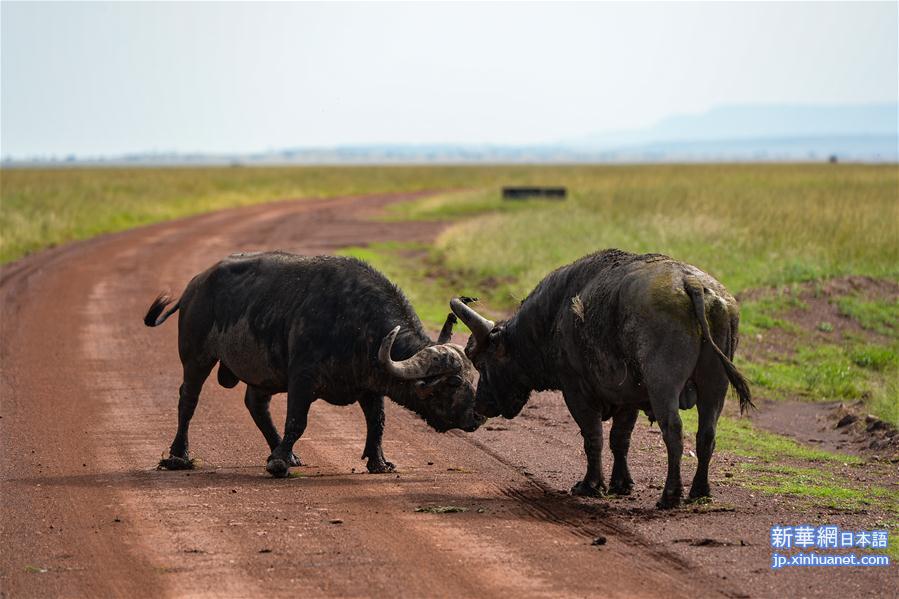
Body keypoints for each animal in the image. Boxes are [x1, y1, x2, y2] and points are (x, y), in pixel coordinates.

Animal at [143, 252, 486, 478]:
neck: (357, 323)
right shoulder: (302, 380)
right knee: (188, 400)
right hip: (196, 358)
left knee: (255, 404)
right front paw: (278, 464)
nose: (477, 416)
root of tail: (194, 287)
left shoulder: (370, 384)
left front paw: (379, 463)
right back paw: (179, 456)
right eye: (453, 382)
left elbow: (377, 422)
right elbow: (297, 420)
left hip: (262, 373)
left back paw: (285, 451)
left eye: (473, 376)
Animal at [450, 251, 752, 508]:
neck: (553, 316)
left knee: (673, 431)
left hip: (663, 384)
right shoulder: (629, 398)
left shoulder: (575, 392)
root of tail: (691, 283)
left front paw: (591, 484)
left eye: (481, 362)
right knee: (706, 434)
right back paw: (699, 491)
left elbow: (592, 436)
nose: (481, 404)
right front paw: (621, 483)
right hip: (715, 385)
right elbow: (620, 438)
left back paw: (670, 495)